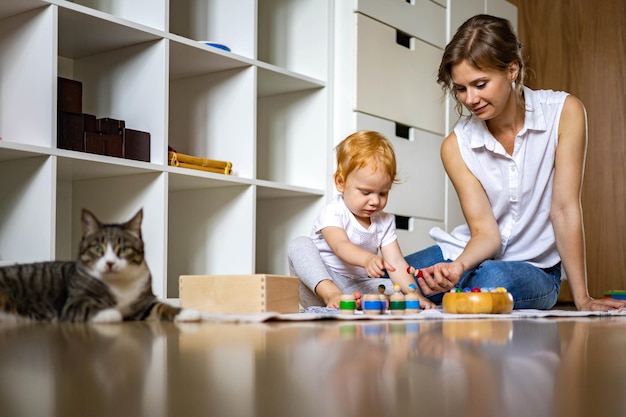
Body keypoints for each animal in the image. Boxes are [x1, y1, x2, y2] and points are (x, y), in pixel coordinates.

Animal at [0, 208, 200, 322]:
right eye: (97, 248)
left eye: (124, 249)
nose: (110, 263)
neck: (120, 284)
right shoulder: (73, 303)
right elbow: (90, 307)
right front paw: (111, 314)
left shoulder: (144, 303)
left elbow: (162, 306)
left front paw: (188, 313)